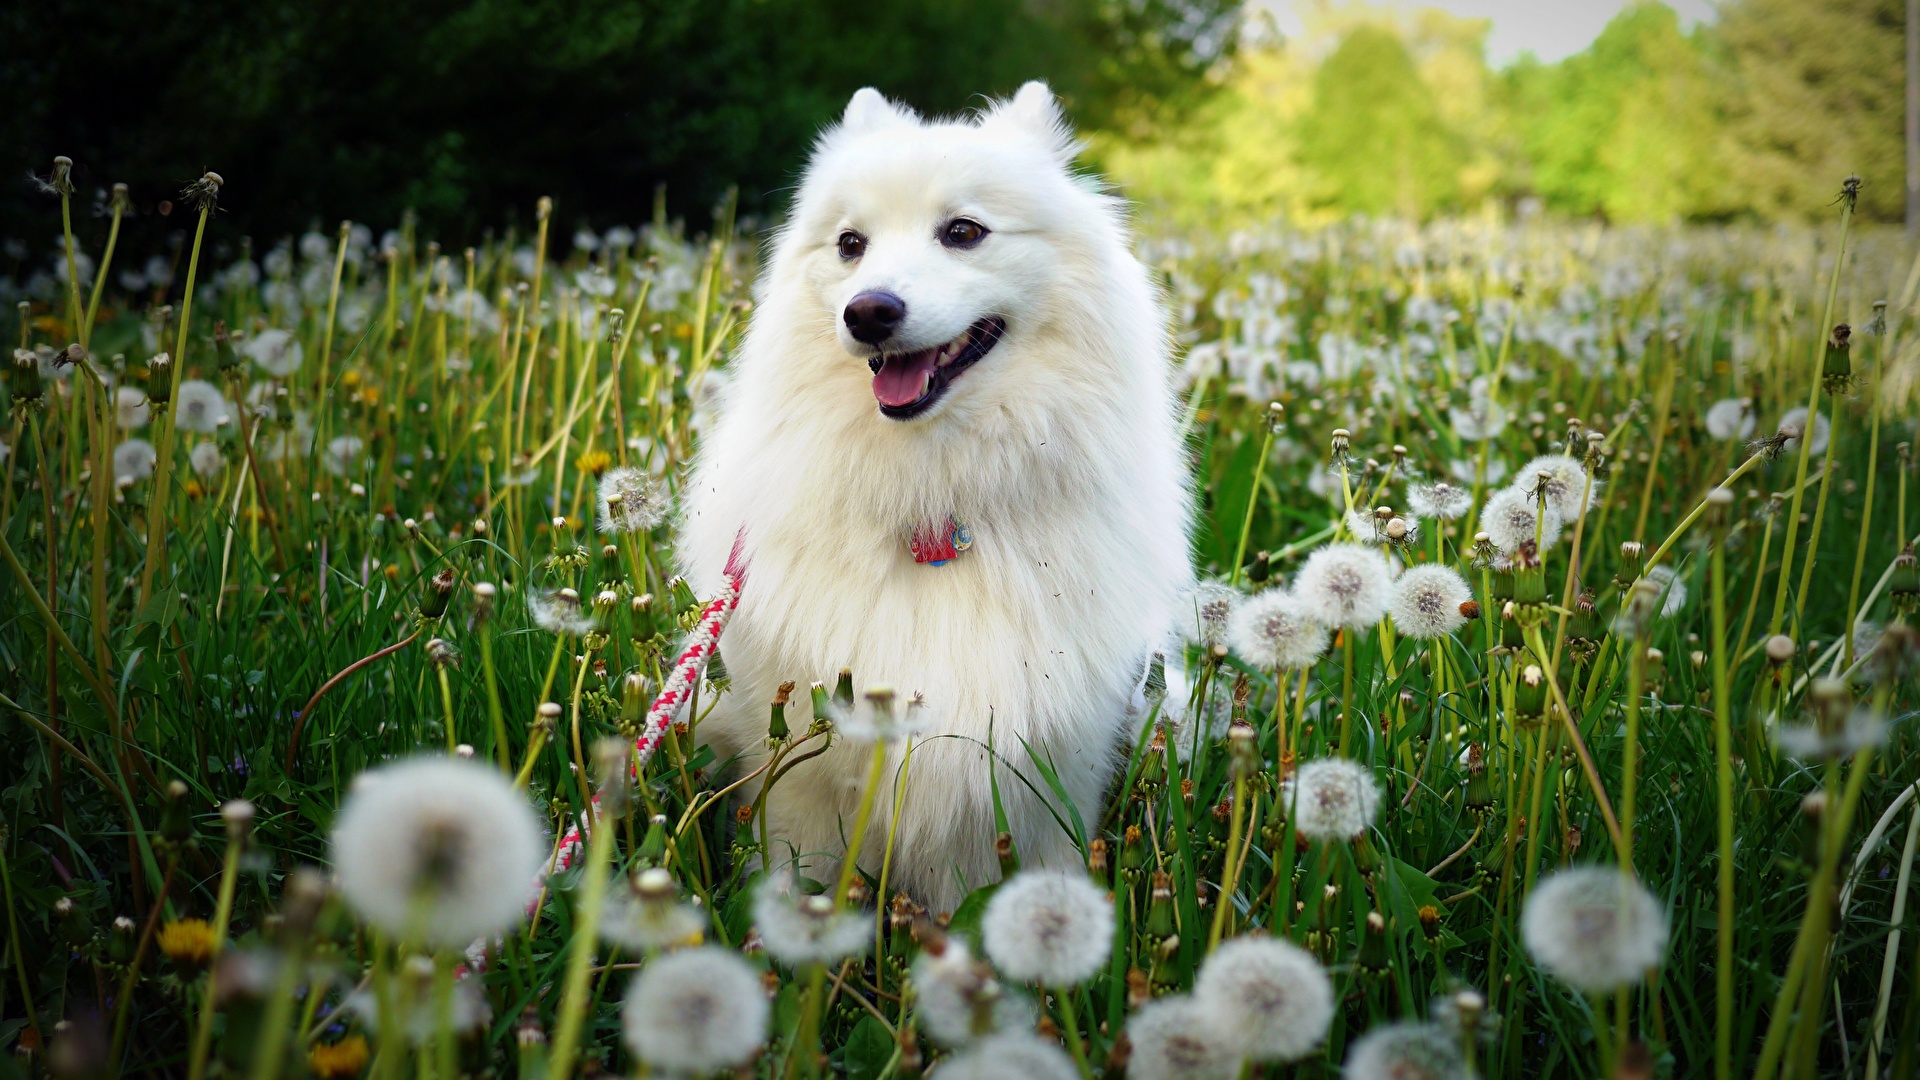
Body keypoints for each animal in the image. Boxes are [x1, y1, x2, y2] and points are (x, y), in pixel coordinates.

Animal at [675, 84, 1182, 907]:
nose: (868, 311)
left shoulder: (1050, 773)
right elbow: (796, 877)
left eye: (964, 231)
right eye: (851, 244)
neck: (934, 498)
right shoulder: (799, 772)